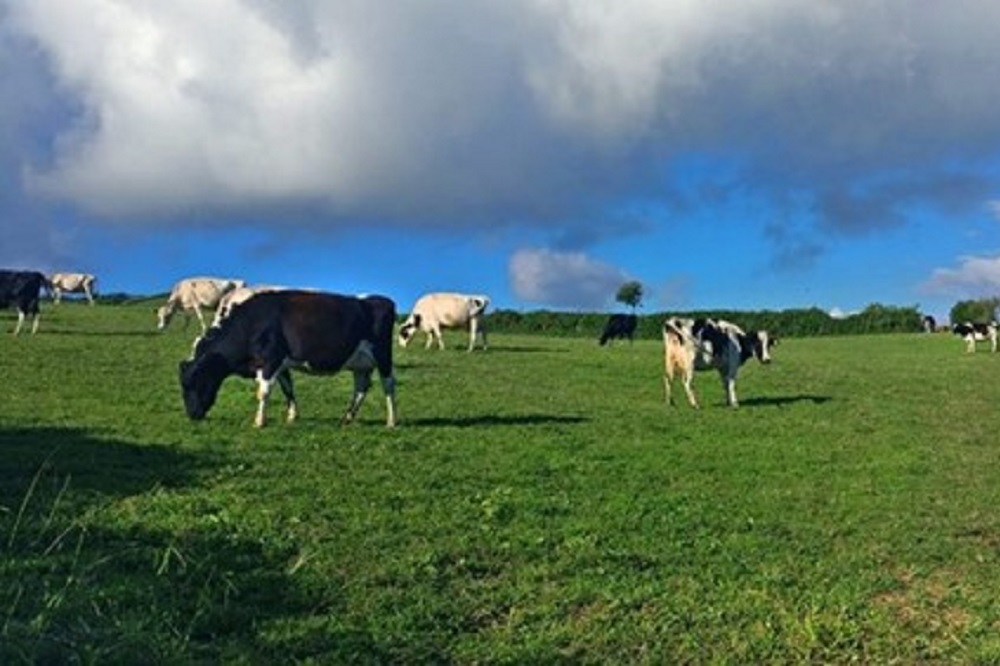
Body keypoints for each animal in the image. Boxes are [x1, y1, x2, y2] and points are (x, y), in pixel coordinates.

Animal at [178, 290, 396, 426]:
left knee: (388, 384)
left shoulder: (270, 359)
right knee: (360, 388)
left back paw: (392, 421)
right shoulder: (281, 364)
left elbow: (263, 392)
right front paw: (292, 416)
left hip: (383, 356)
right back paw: (347, 418)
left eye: (195, 382)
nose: (192, 415)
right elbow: (287, 389)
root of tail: (382, 300)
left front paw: (259, 422)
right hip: (360, 363)